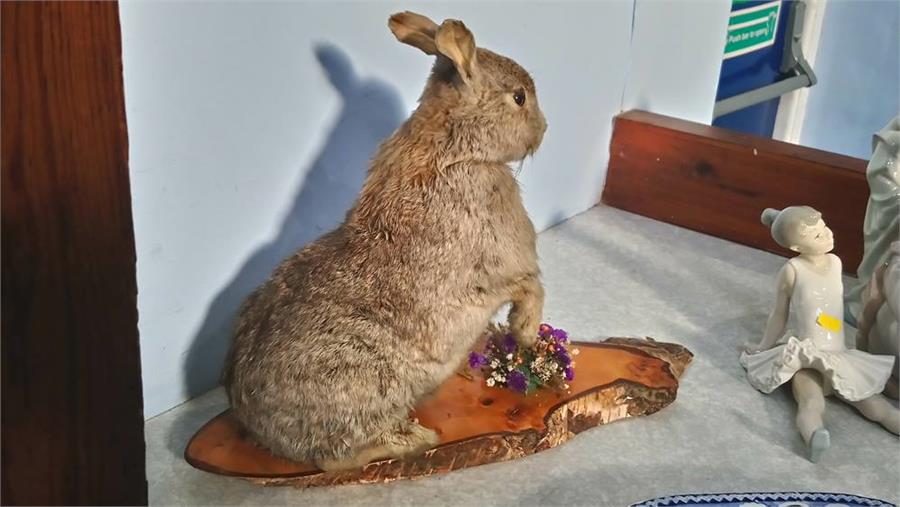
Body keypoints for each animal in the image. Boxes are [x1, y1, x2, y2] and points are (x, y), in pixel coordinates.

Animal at [225, 10, 548, 472]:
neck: (459, 149)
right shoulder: (498, 269)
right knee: (336, 458)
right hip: (365, 381)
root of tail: (261, 430)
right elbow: (531, 287)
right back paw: (415, 439)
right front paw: (524, 333)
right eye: (519, 97)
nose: (543, 130)